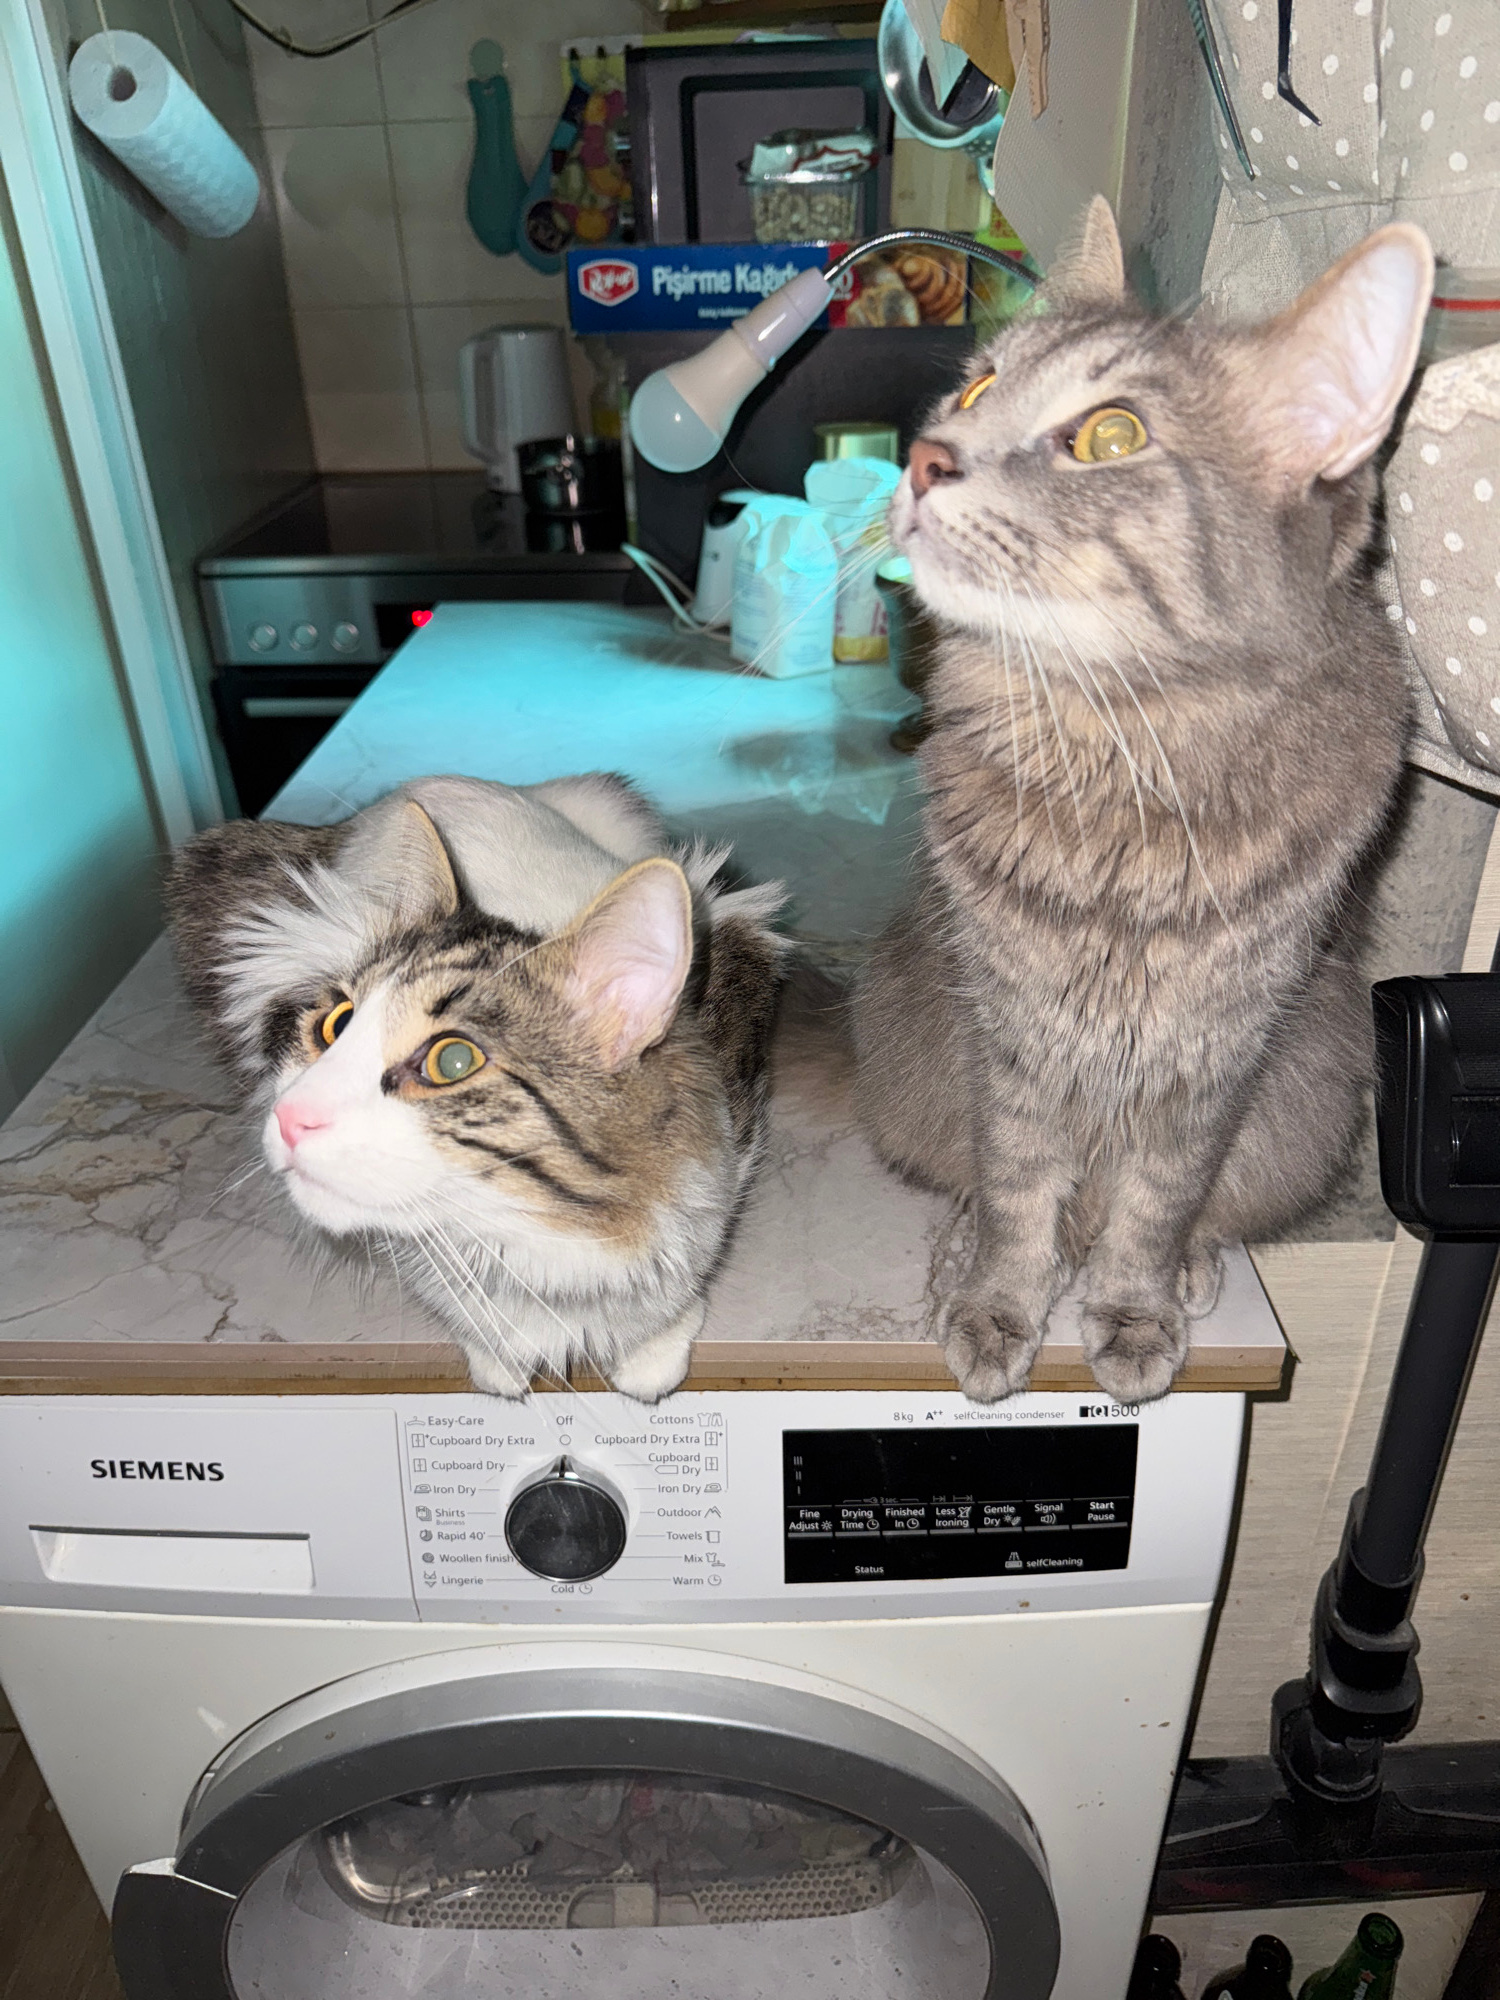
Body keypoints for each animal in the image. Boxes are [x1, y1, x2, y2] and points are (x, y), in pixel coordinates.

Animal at [167, 773, 786, 1400]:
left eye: (454, 1060)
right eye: (335, 1026)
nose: (289, 1115)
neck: (541, 1236)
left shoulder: (732, 1096)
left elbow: (692, 1257)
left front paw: (653, 1345)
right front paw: (494, 1352)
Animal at [854, 200, 1433, 1404]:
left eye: (1111, 437)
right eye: (978, 387)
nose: (924, 458)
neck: (1122, 759)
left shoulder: (1218, 1051)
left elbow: (1155, 1204)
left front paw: (1131, 1307)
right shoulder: (1011, 1033)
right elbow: (1019, 1188)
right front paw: (998, 1301)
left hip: (1307, 1101)